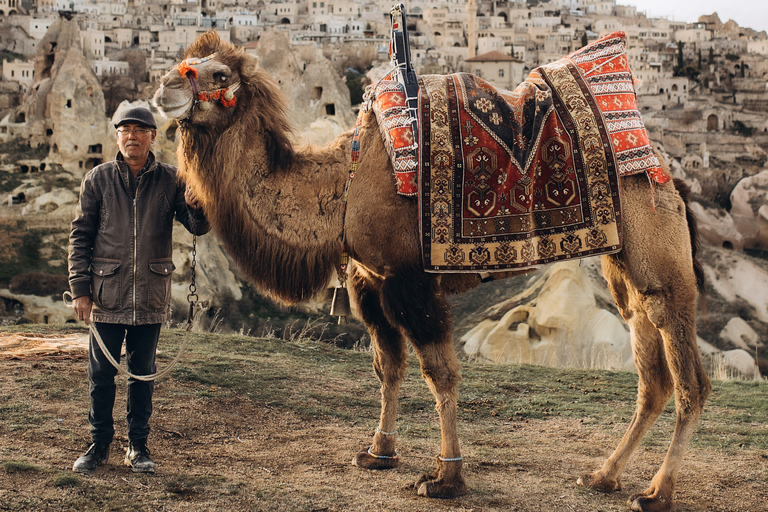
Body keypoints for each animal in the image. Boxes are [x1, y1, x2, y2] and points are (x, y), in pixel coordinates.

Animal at [153, 33, 712, 512]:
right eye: (187, 62)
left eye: (218, 73)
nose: (164, 88)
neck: (342, 187)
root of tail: (669, 174)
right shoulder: (369, 282)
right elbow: (388, 368)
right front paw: (377, 453)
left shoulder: (410, 281)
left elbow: (439, 373)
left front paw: (446, 477)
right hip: (624, 269)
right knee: (652, 375)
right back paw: (602, 476)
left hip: (661, 258)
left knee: (690, 381)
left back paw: (656, 493)